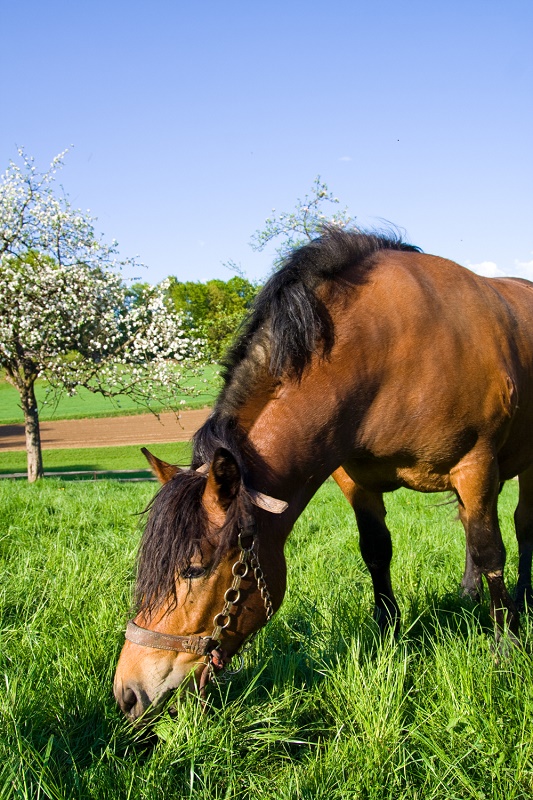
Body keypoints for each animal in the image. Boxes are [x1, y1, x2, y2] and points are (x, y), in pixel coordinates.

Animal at [114, 228, 532, 720]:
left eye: (194, 569)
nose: (128, 692)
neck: (387, 351)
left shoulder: (476, 465)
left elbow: (491, 553)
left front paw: (506, 646)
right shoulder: (356, 481)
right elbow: (377, 553)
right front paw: (388, 636)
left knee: (520, 525)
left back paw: (523, 597)